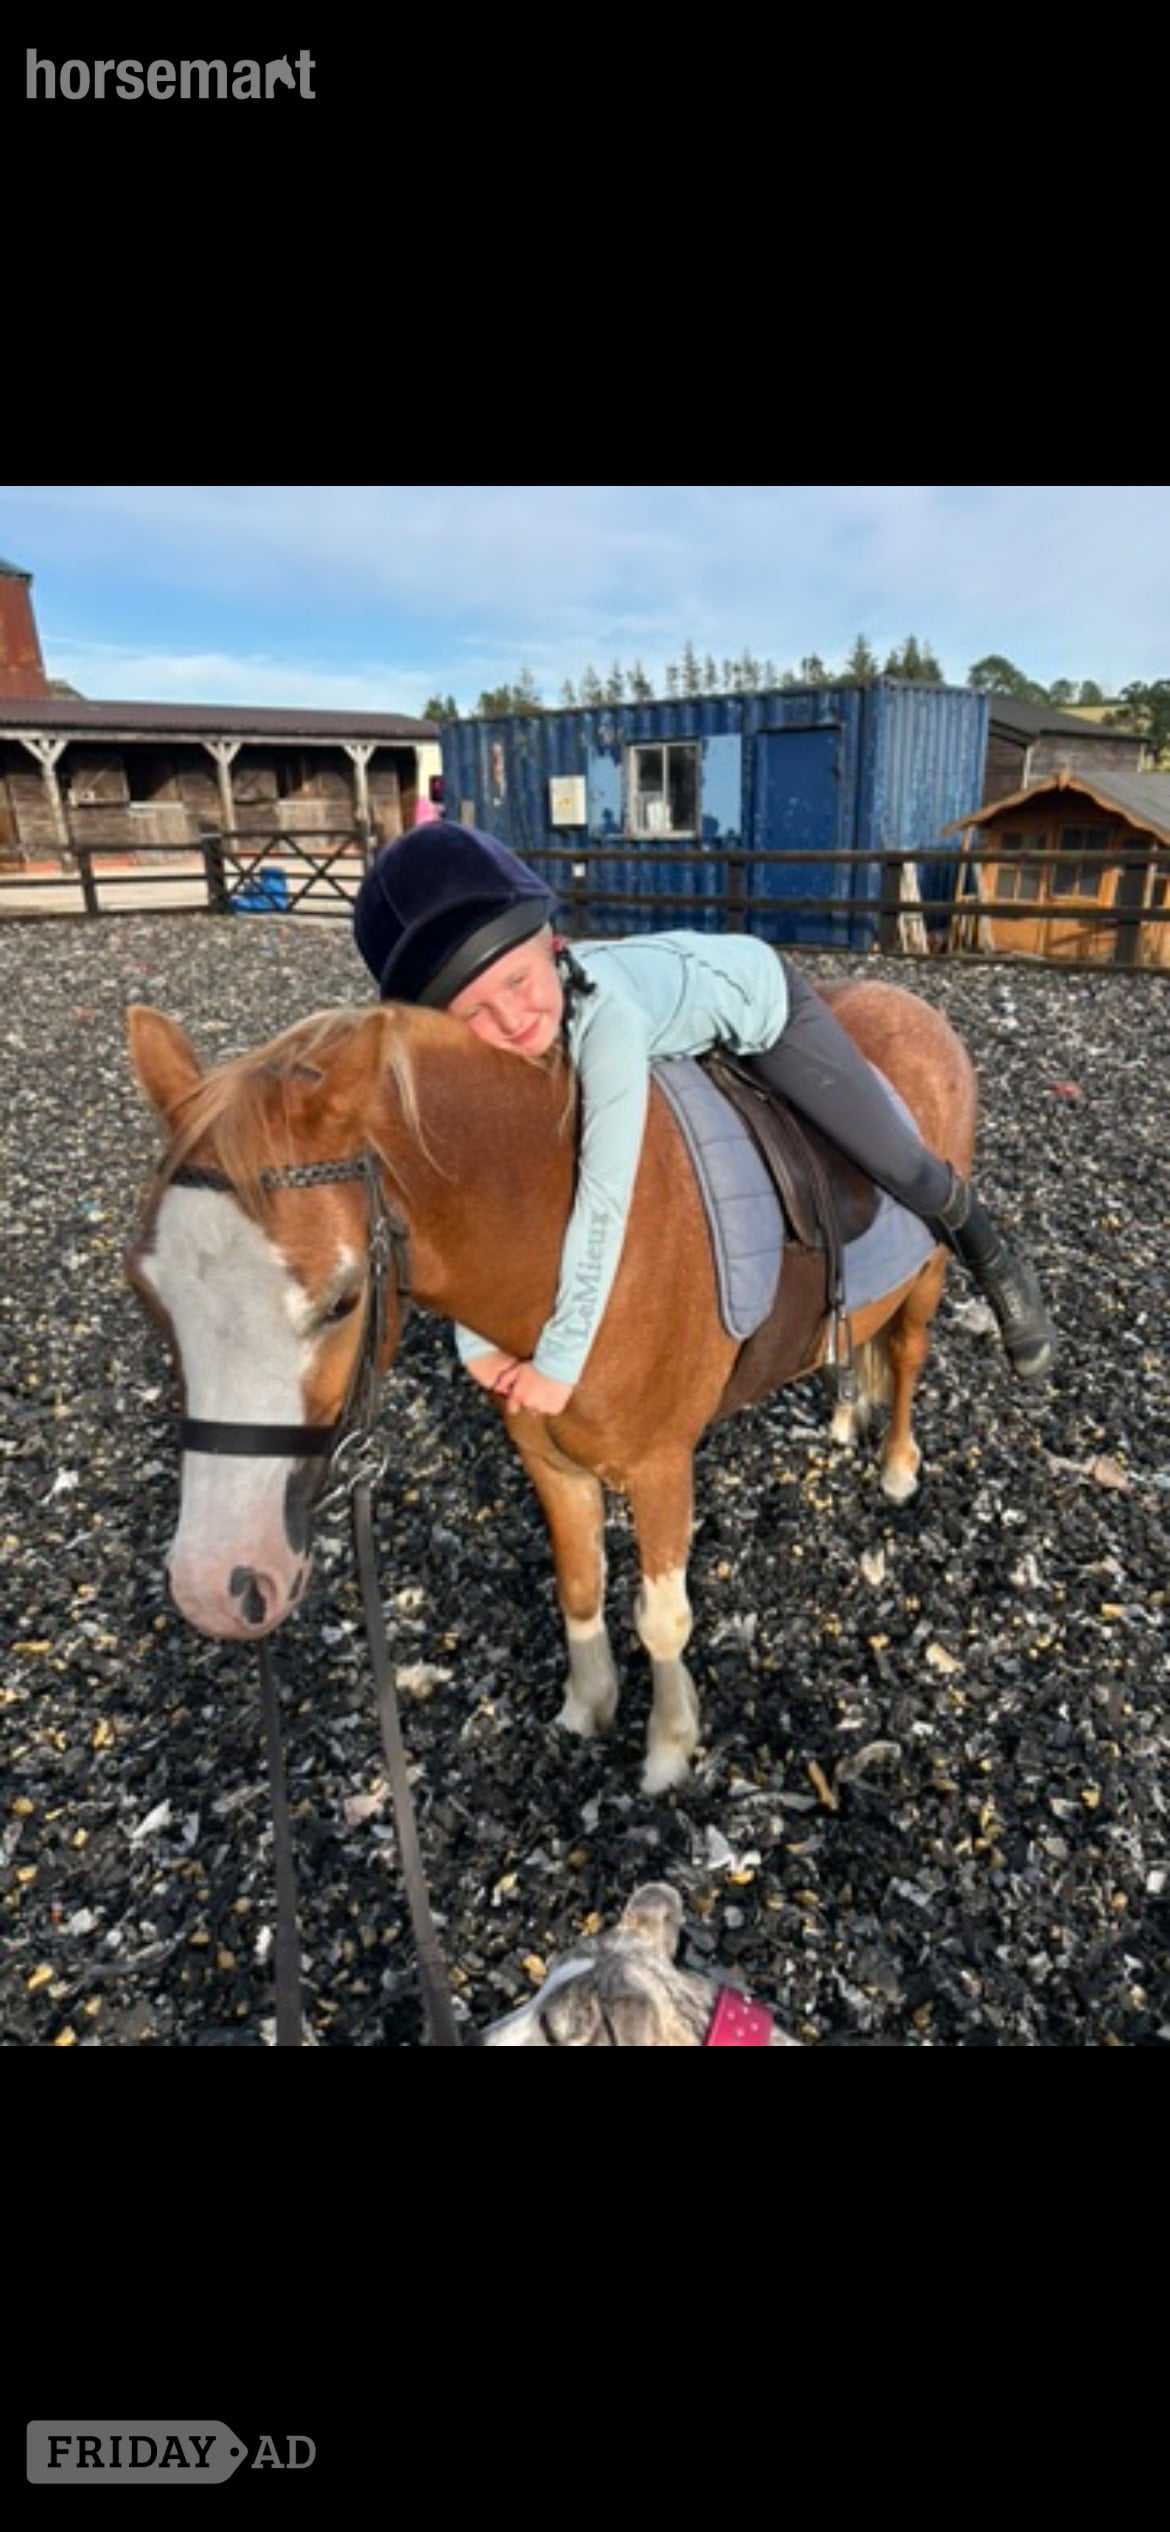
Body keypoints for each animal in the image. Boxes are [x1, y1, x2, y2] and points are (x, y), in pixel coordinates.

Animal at [125, 977, 977, 1795]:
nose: (212, 1586)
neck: (569, 1238)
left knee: (906, 1353)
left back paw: (898, 1465)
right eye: (147, 1292)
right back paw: (844, 1417)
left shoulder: (663, 1468)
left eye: (340, 1301)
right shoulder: (548, 1459)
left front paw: (669, 1749)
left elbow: (662, 1618)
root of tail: (913, 1005)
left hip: (930, 1275)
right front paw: (587, 1708)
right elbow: (577, 1585)